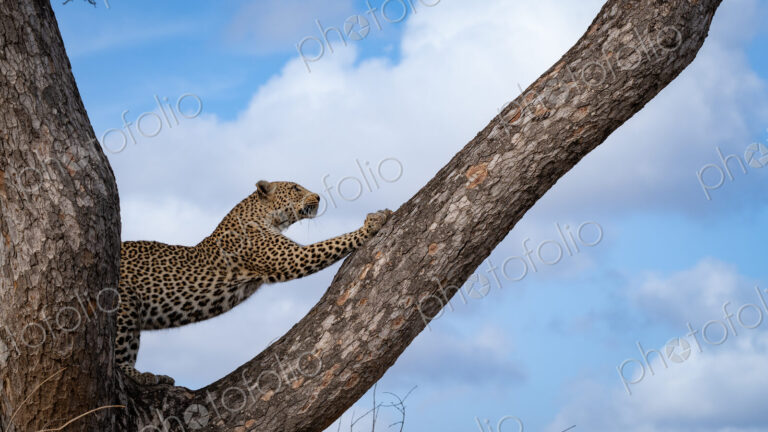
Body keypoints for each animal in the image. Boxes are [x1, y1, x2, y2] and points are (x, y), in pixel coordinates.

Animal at [116, 180, 392, 385]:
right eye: (295, 188)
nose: (319, 197)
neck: (266, 216)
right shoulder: (290, 259)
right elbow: (332, 242)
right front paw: (373, 222)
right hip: (123, 305)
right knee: (117, 356)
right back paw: (143, 376)